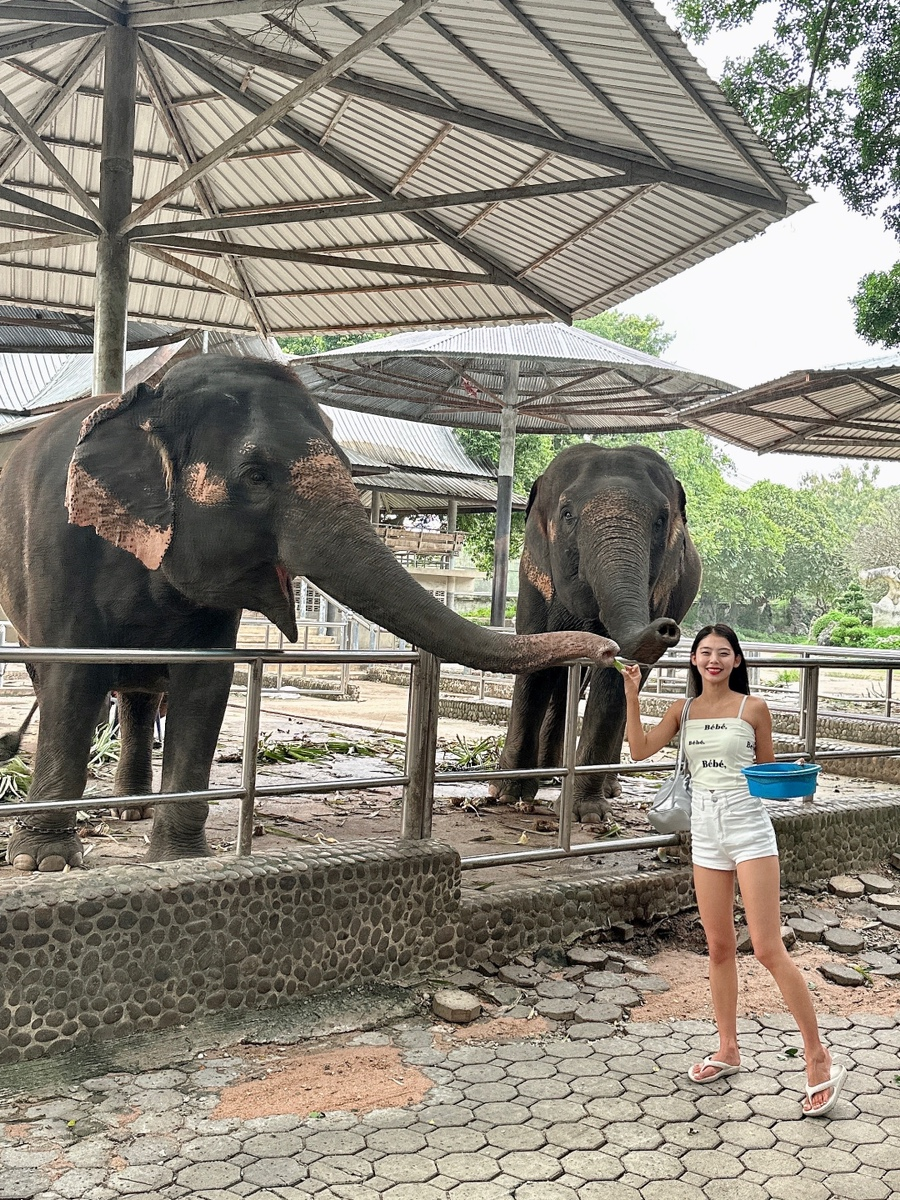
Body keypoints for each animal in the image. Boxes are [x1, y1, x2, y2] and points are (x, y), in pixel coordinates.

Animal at [0, 355, 619, 873]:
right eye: (255, 475)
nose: (613, 649)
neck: (149, 401)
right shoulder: (57, 544)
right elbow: (72, 677)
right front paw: (44, 863)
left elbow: (206, 682)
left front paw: (180, 861)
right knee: (62, 679)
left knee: (140, 693)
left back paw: (133, 810)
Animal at [489, 441, 700, 825]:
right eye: (567, 514)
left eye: (660, 520)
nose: (667, 627)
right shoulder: (533, 575)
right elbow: (536, 658)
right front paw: (505, 794)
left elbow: (614, 680)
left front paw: (587, 814)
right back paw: (549, 775)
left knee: (631, 685)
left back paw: (604, 786)